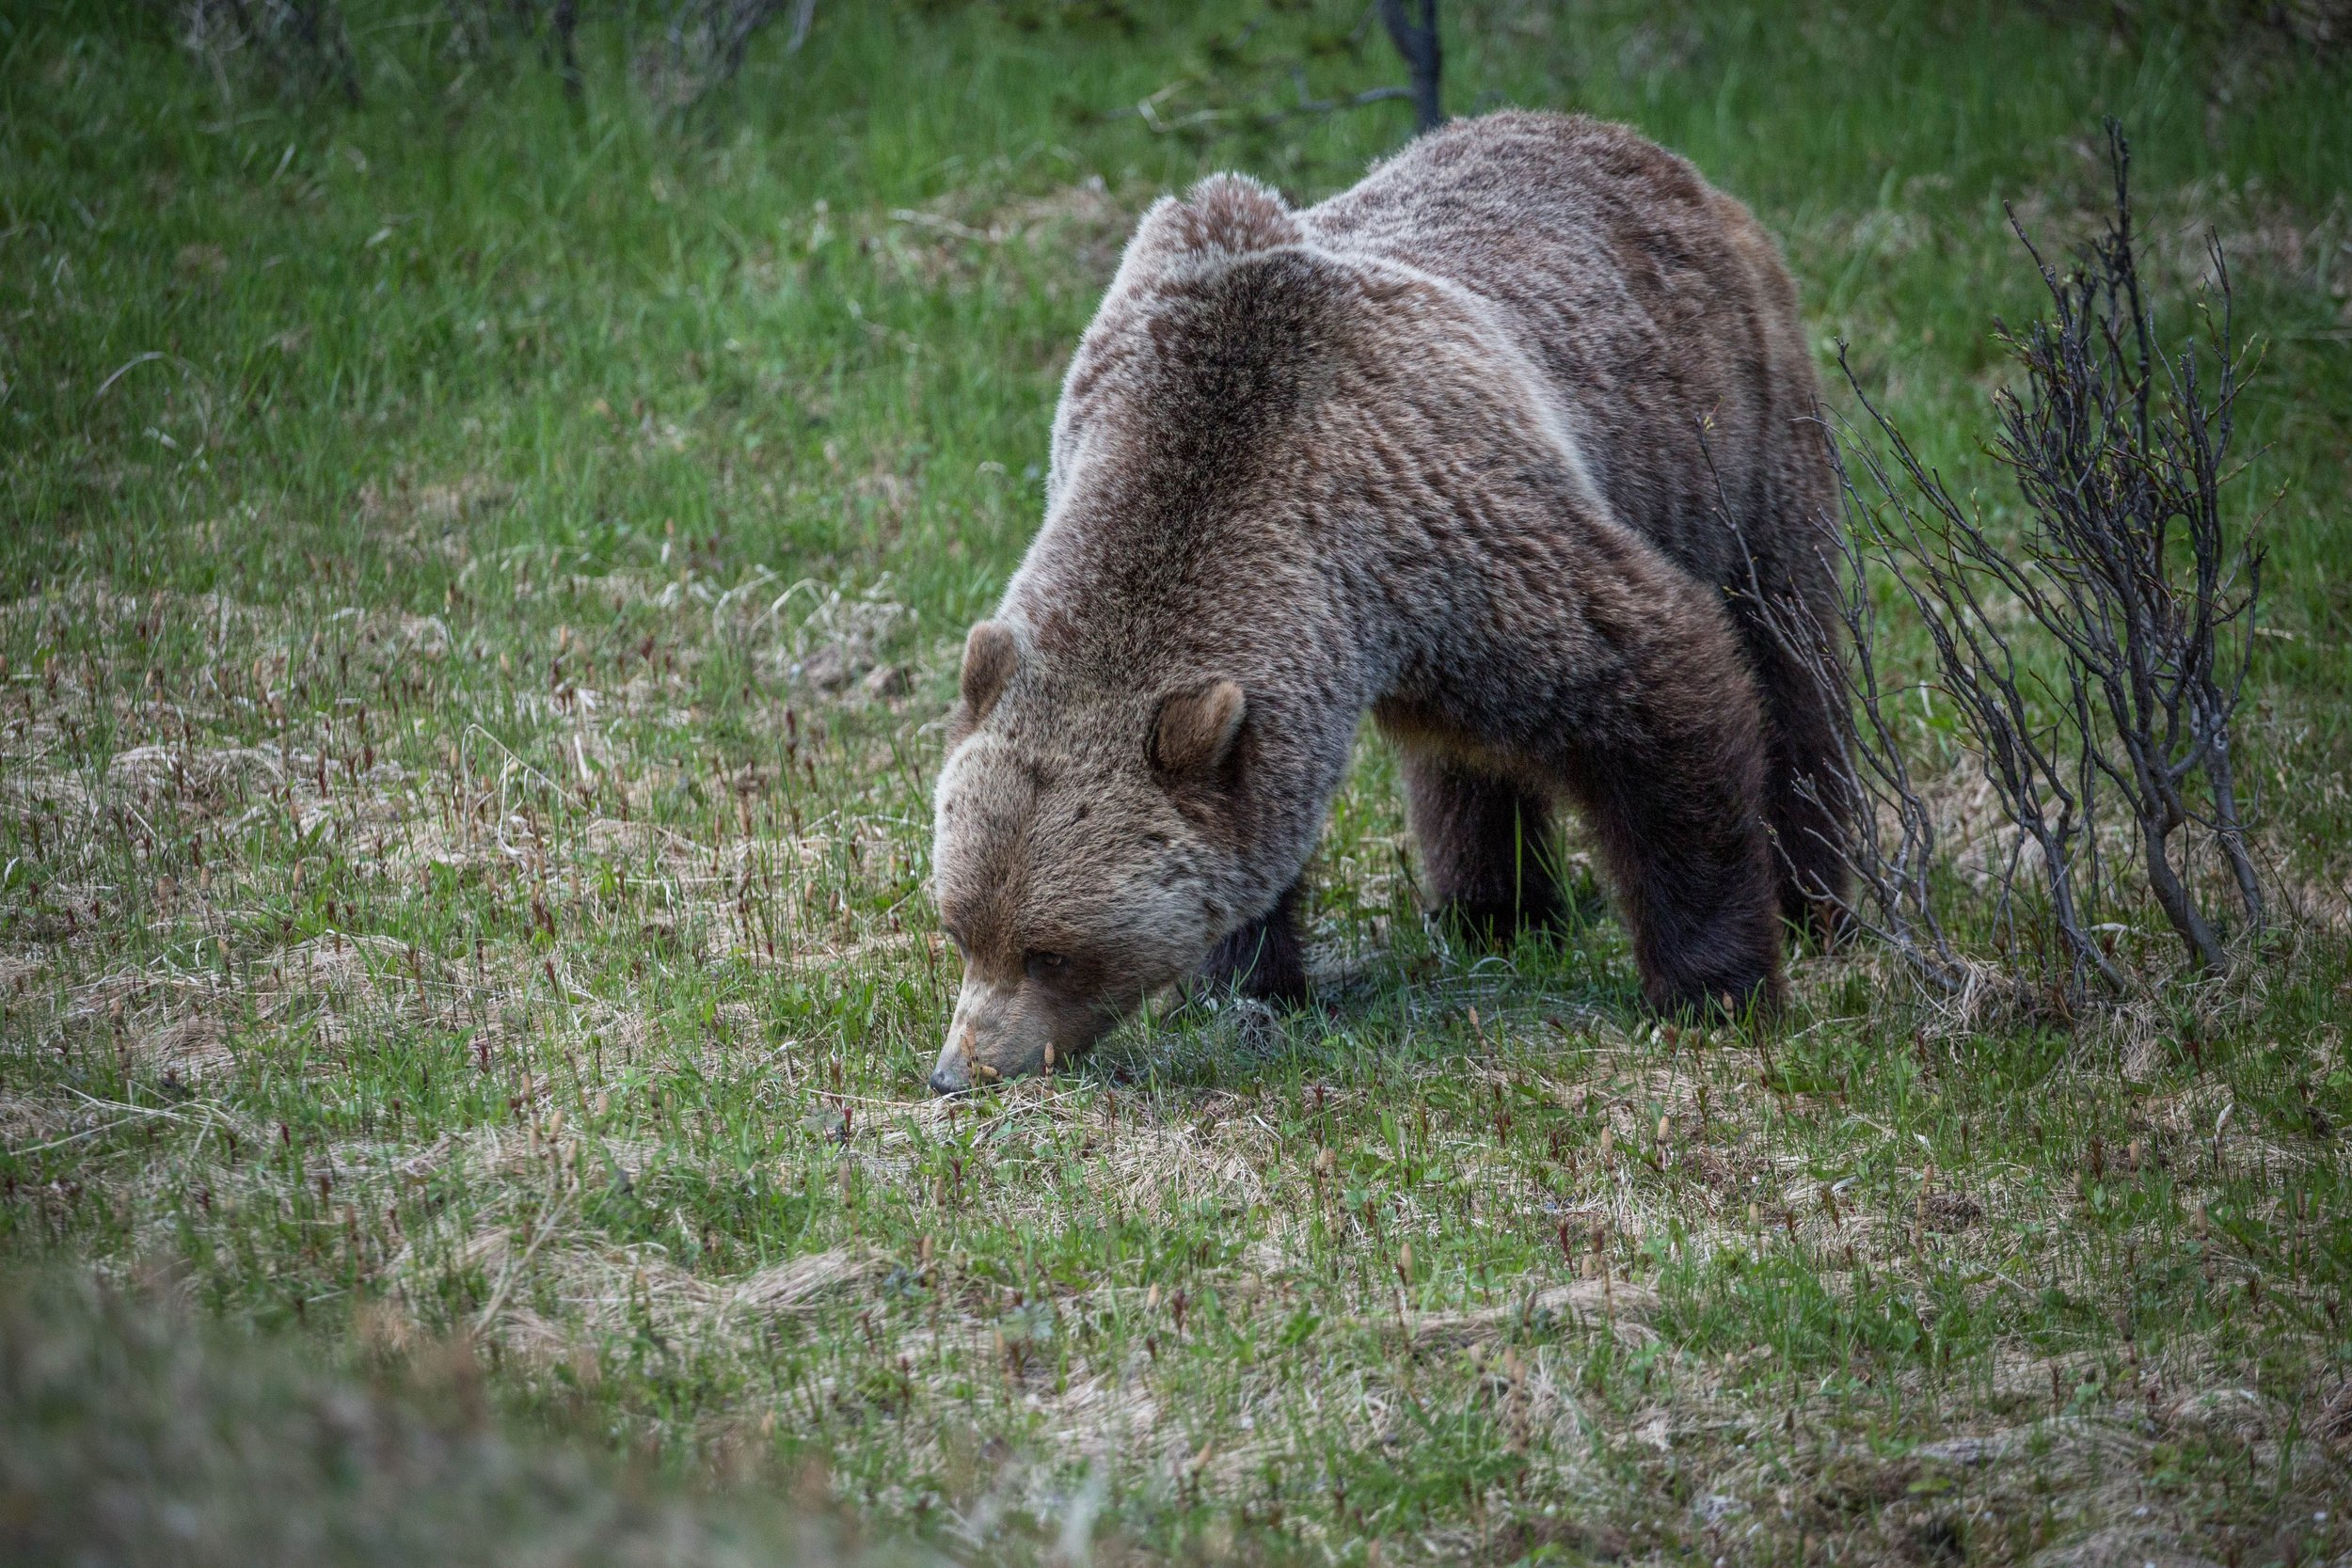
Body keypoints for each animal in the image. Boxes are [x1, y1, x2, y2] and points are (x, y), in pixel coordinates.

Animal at [925, 111, 1847, 1095]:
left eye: (1051, 952)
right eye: (961, 927)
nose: (959, 1069)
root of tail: (1641, 147)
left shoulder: (1462, 522)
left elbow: (1664, 678)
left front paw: (1716, 988)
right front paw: (1249, 981)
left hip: (1734, 437)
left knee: (1790, 660)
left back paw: (1820, 901)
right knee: (1465, 755)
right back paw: (1496, 914)